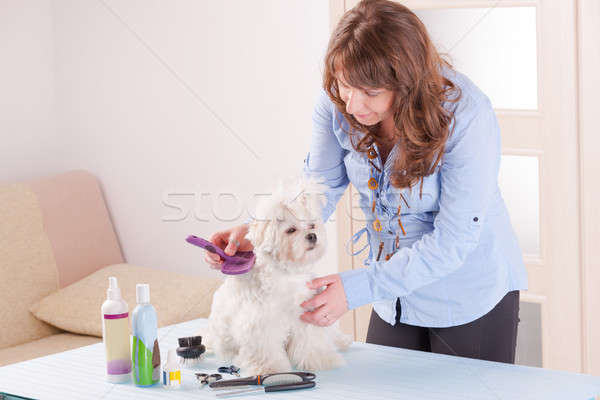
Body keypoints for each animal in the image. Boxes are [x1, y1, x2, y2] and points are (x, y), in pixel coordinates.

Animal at [206, 175, 352, 376]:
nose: (312, 235)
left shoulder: (306, 317)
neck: (288, 275)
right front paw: (270, 368)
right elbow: (265, 349)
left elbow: (311, 343)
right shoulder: (260, 325)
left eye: (312, 225)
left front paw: (320, 359)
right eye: (291, 230)